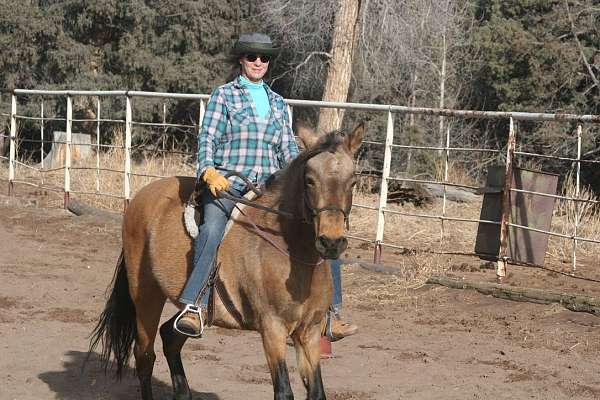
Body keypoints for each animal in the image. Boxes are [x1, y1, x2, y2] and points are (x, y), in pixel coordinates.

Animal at [86, 123, 364, 398]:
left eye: (353, 181)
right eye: (310, 180)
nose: (331, 242)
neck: (290, 254)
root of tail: (141, 198)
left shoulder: (310, 331)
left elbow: (317, 392)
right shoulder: (272, 329)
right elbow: (284, 391)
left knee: (170, 336)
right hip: (146, 295)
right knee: (144, 356)